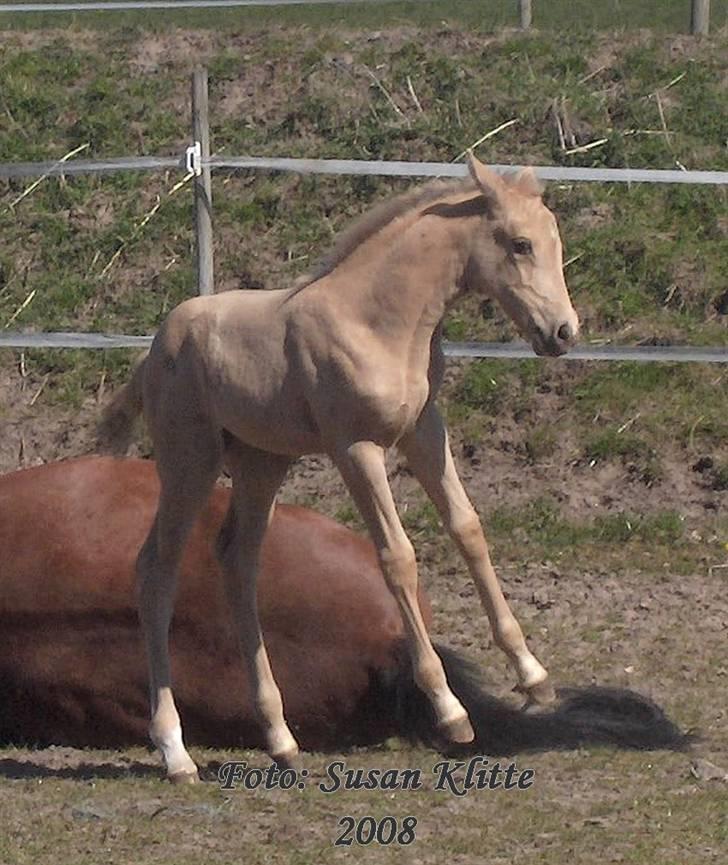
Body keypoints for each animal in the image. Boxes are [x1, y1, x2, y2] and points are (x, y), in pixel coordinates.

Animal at [101, 155, 580, 784]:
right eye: (520, 244)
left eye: (555, 239)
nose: (564, 333)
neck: (379, 322)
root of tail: (156, 349)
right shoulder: (357, 448)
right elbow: (397, 557)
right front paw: (450, 710)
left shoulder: (424, 431)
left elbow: (468, 528)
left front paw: (534, 675)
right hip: (189, 463)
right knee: (156, 569)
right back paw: (175, 751)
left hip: (261, 462)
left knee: (238, 561)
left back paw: (279, 737)